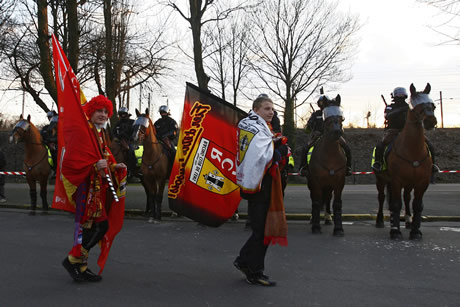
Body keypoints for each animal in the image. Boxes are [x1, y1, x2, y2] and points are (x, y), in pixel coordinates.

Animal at [308, 95, 346, 237]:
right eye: (326, 117)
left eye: (341, 117)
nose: (337, 132)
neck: (331, 155)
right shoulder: (315, 181)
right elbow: (316, 201)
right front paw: (316, 226)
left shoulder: (339, 182)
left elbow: (337, 204)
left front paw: (339, 228)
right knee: (316, 199)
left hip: (329, 185)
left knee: (328, 198)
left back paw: (328, 218)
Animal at [380, 83, 438, 241]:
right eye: (416, 106)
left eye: (432, 105)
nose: (431, 121)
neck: (412, 150)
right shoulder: (396, 180)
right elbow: (395, 204)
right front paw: (395, 231)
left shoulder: (422, 182)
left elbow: (417, 205)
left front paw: (416, 231)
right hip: (381, 180)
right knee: (382, 198)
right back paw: (380, 221)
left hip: (408, 183)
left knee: (406, 198)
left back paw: (407, 221)